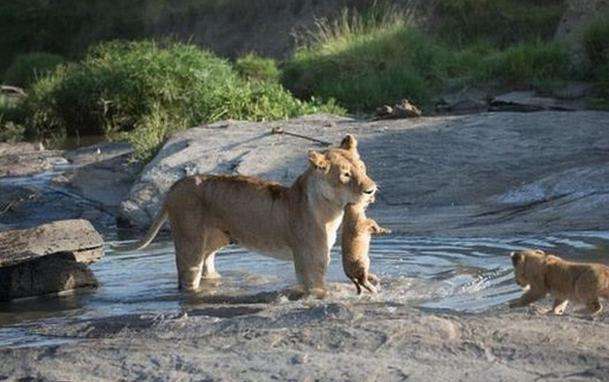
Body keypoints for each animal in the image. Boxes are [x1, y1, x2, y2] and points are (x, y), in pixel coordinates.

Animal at [115, 134, 376, 296]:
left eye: (362, 168)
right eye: (345, 175)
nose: (371, 190)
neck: (329, 210)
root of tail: (174, 187)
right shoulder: (311, 263)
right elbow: (317, 289)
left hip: (213, 241)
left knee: (208, 267)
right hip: (189, 243)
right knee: (188, 278)